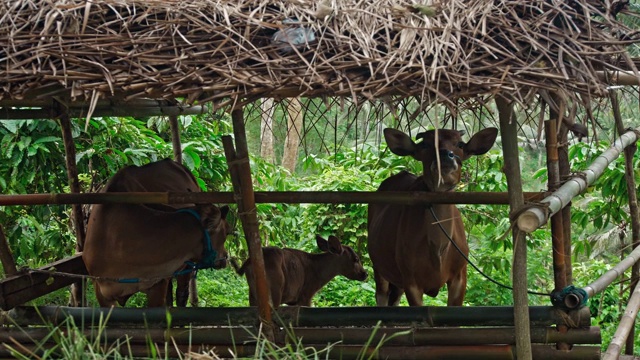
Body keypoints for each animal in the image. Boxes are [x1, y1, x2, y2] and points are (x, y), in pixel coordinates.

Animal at [236, 235, 368, 308]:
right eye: (356, 258)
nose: (365, 273)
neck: (317, 271)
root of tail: (248, 262)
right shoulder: (305, 296)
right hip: (274, 291)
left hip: (252, 295)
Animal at [368, 127, 498, 306]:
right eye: (425, 144)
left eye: (460, 144)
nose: (444, 155)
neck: (438, 249)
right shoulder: (411, 281)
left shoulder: (460, 276)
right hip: (379, 267)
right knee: (381, 296)